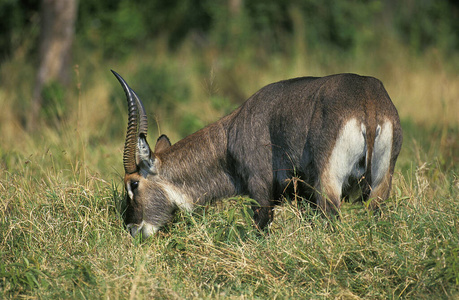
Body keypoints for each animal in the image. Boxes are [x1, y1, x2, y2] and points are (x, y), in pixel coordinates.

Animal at [114, 71, 402, 239]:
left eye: (134, 184)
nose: (132, 229)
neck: (230, 134)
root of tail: (368, 100)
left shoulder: (260, 188)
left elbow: (260, 226)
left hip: (328, 184)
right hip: (380, 186)